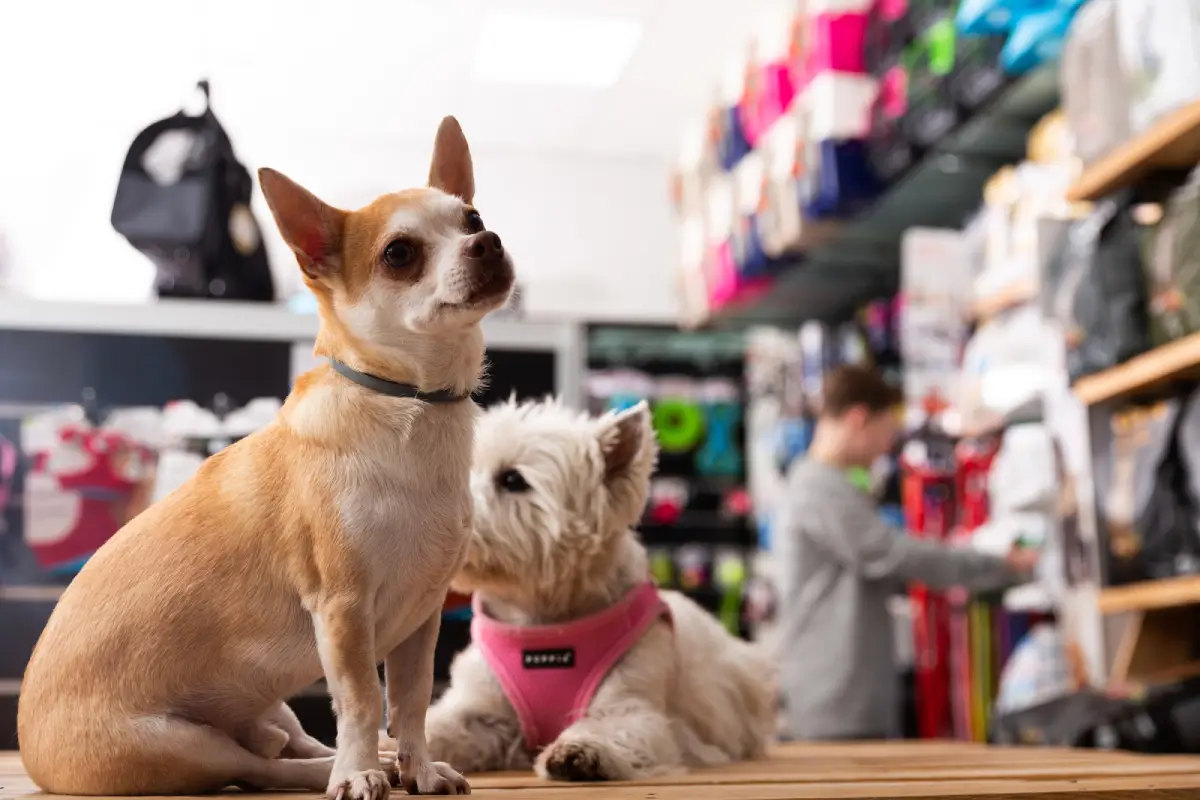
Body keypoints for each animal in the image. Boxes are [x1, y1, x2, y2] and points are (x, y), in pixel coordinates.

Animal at [422, 398, 777, 777]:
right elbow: (441, 725)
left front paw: (578, 751)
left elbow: (614, 725)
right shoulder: (480, 707)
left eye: (512, 479)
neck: (542, 620)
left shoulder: (632, 703)